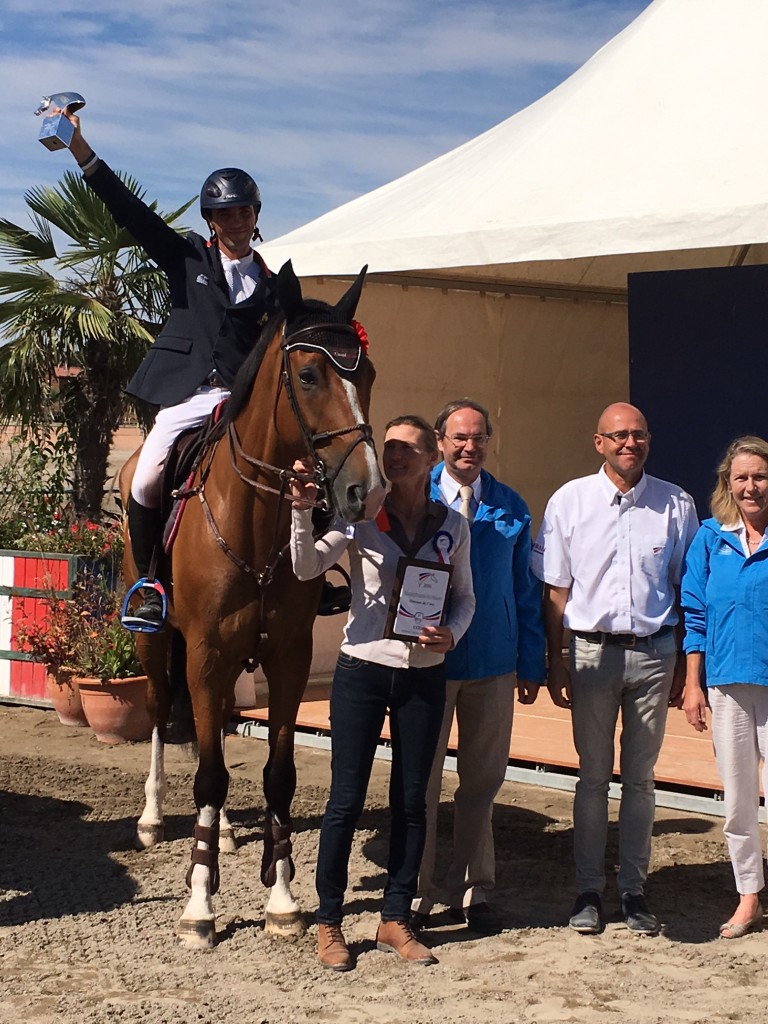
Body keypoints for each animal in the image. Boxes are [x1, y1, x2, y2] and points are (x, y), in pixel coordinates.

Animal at [119, 260, 385, 946]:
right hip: (156, 641)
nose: (366, 491)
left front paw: (283, 898)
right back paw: (154, 817)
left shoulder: (288, 656)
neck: (258, 522)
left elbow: (277, 773)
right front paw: (199, 907)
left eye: (367, 374)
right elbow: (209, 773)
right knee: (158, 711)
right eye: (310, 375)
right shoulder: (206, 653)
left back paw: (228, 836)